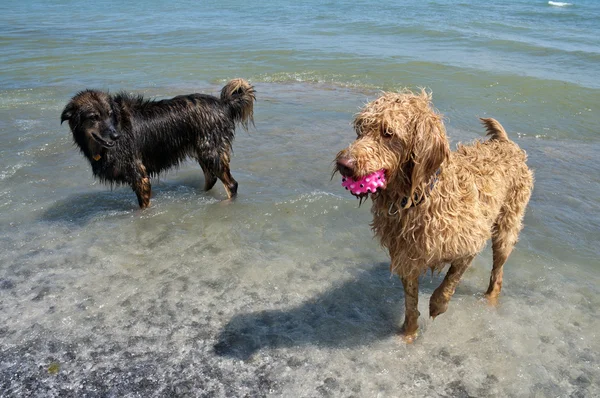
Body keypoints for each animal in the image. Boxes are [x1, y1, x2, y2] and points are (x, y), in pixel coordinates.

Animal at [61, 78, 255, 208]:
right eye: (94, 117)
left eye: (110, 114)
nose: (116, 136)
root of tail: (223, 104)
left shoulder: (139, 175)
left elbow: (143, 207)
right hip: (203, 151)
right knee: (211, 178)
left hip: (211, 151)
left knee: (231, 184)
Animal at [332, 91, 536, 342]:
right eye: (360, 130)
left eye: (388, 132)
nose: (343, 164)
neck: (416, 197)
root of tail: (505, 142)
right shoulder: (407, 256)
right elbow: (411, 303)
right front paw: (408, 335)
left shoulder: (470, 242)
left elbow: (451, 279)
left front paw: (438, 305)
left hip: (507, 227)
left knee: (497, 272)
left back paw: (490, 298)